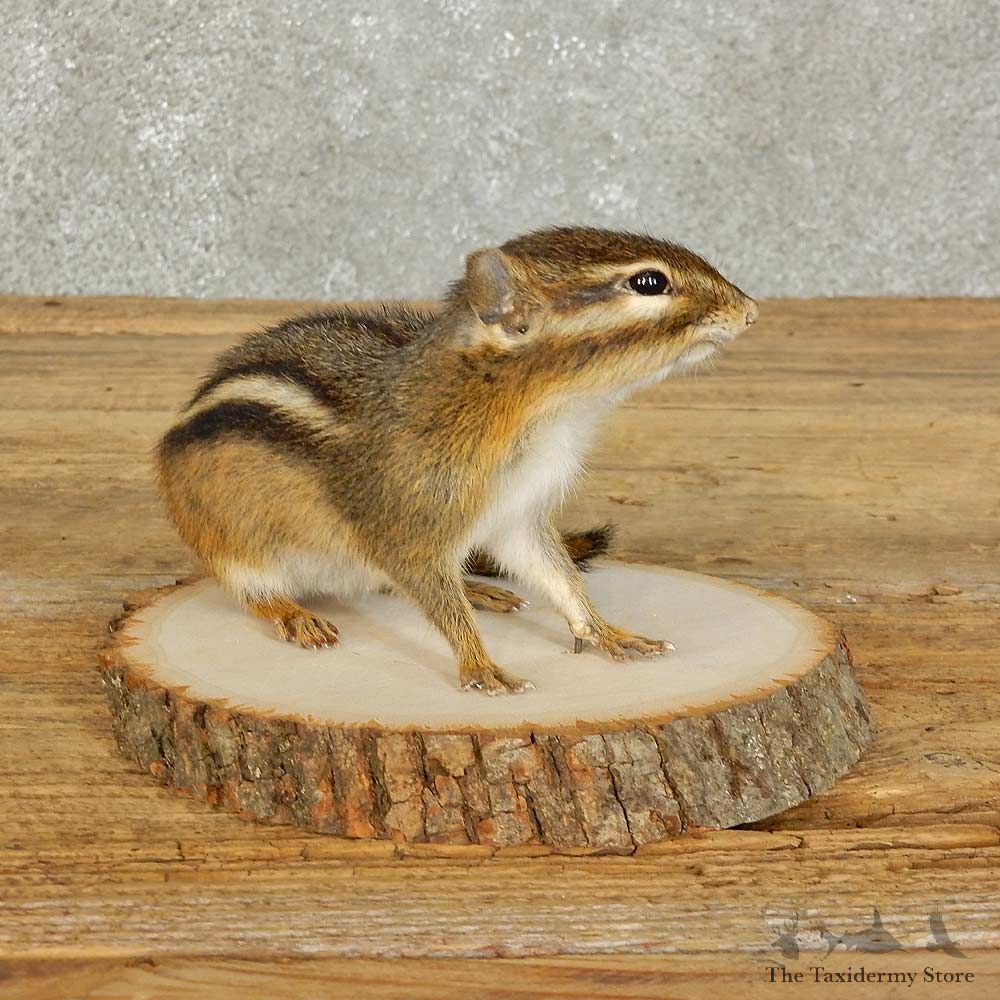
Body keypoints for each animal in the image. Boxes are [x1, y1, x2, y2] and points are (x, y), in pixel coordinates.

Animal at [156, 226, 757, 695]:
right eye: (649, 282)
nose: (751, 311)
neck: (541, 414)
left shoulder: (518, 515)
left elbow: (558, 577)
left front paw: (610, 633)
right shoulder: (408, 523)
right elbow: (434, 594)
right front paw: (481, 665)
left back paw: (478, 587)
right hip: (232, 544)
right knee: (254, 592)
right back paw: (293, 613)